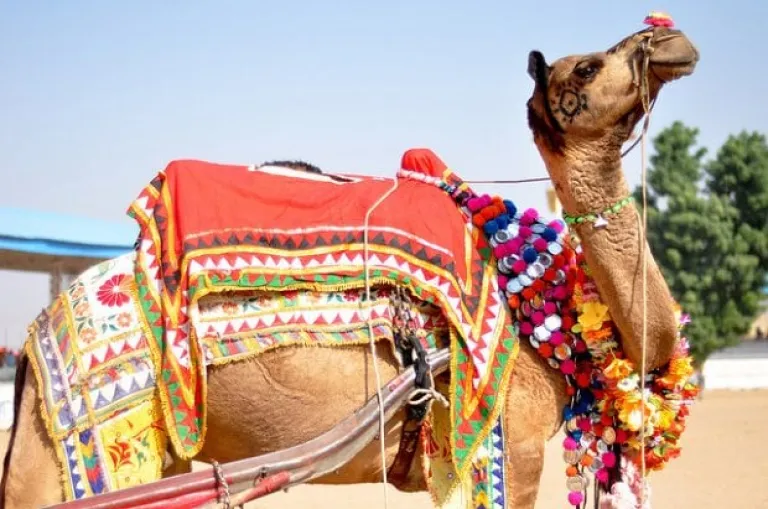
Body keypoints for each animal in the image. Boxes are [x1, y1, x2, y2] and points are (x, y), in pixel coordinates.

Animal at [1, 24, 699, 509]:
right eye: (588, 64)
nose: (667, 37)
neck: (545, 313)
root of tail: (37, 336)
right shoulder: (508, 444)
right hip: (84, 439)